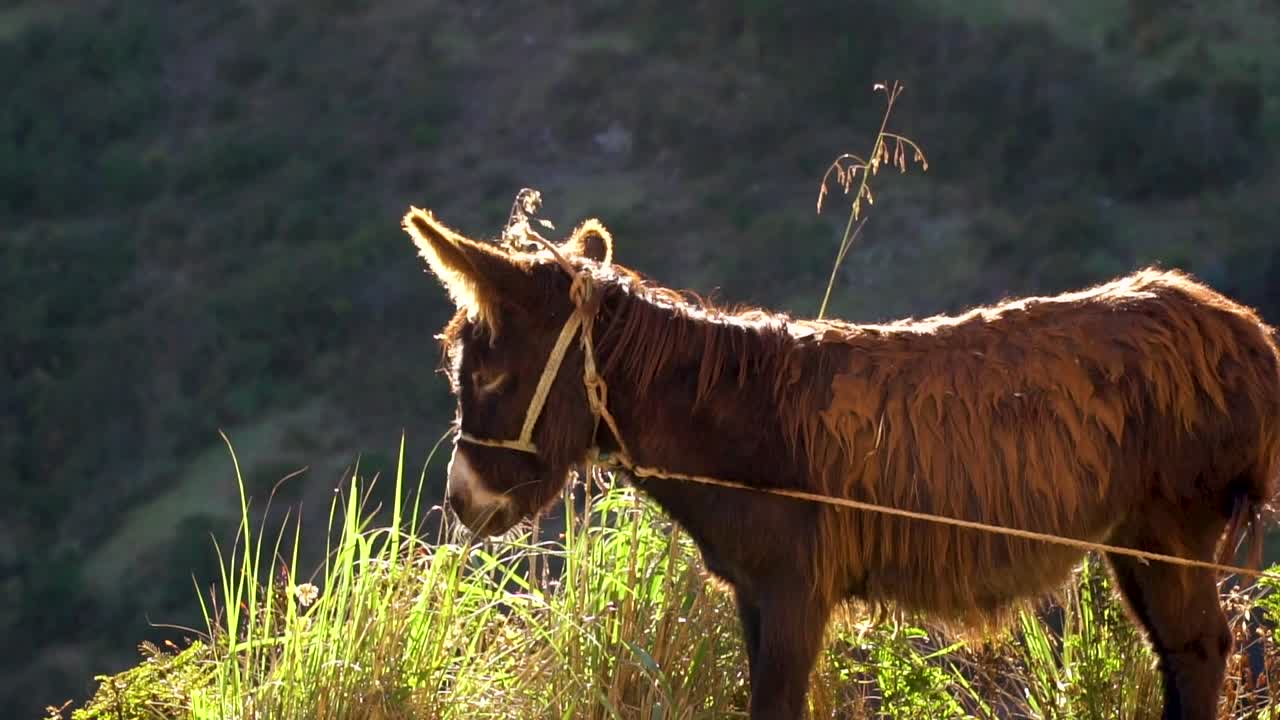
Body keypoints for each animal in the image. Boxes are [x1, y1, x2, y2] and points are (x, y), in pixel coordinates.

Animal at [402, 205, 1280, 720]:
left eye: (487, 376)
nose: (461, 504)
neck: (733, 418)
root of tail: (1240, 329)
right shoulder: (756, 593)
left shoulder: (797, 587)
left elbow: (777, 706)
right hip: (1136, 538)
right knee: (1184, 656)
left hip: (1171, 530)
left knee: (1199, 654)